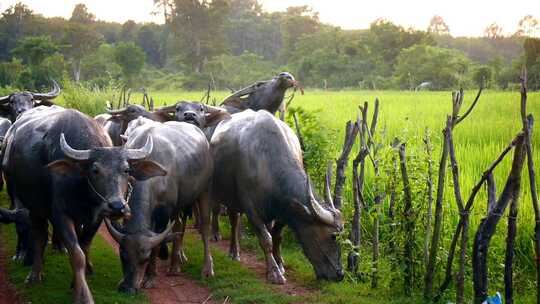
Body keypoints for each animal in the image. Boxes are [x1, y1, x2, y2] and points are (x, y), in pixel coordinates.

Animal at [103, 117, 215, 294]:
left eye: (144, 258)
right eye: (122, 256)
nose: (128, 288)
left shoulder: (164, 212)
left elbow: (156, 244)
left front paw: (150, 277)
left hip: (205, 190)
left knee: (204, 226)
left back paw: (207, 268)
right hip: (179, 204)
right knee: (178, 226)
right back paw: (175, 264)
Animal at [209, 110, 344, 284]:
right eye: (333, 236)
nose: (340, 274)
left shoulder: (284, 210)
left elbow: (277, 236)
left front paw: (279, 264)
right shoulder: (251, 208)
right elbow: (266, 238)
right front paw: (274, 272)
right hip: (227, 195)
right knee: (233, 220)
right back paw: (233, 252)